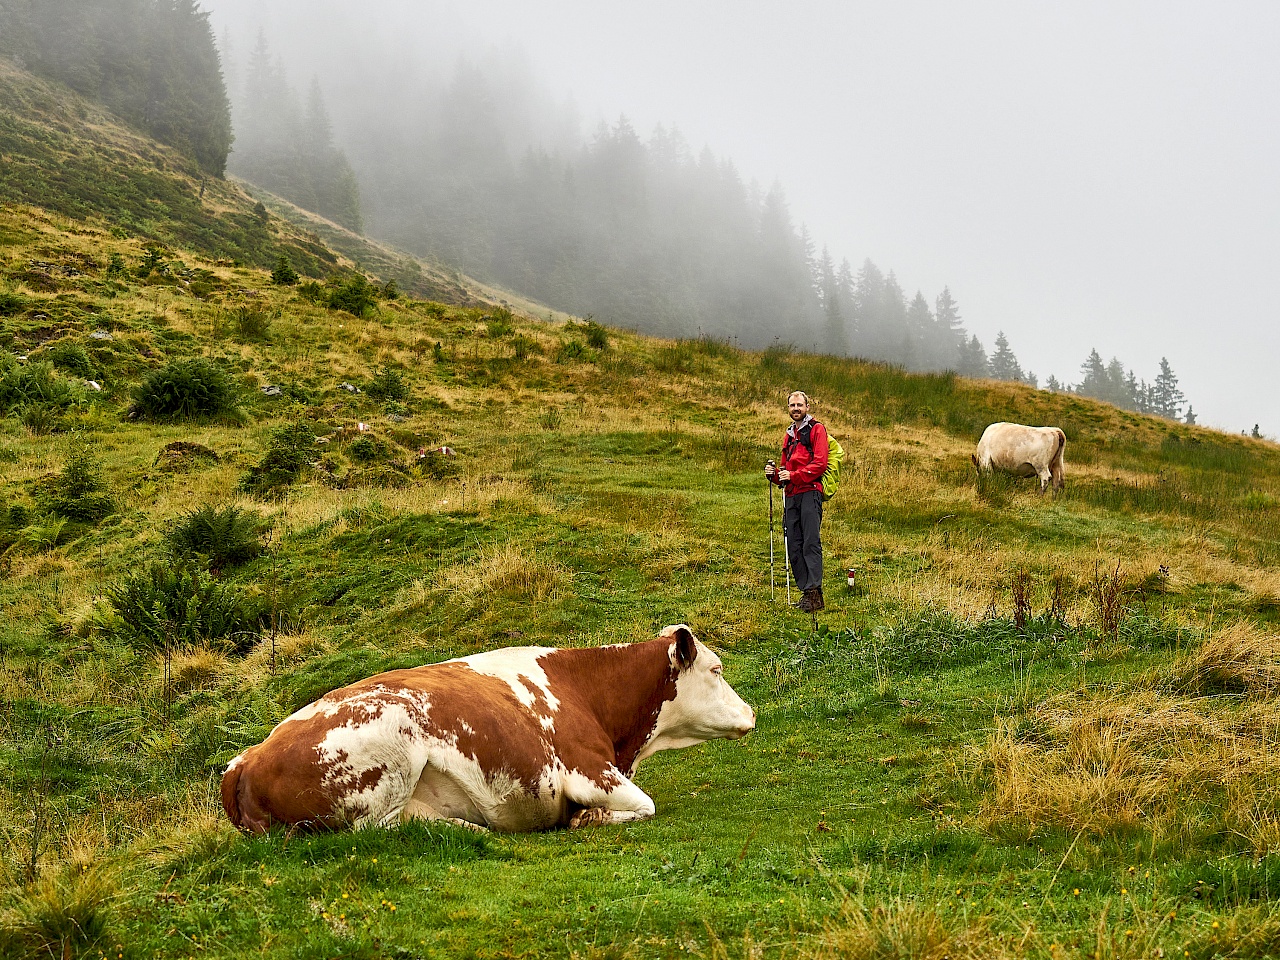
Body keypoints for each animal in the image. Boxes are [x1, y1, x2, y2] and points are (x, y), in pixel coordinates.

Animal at [218, 624, 747, 834]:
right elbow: (645, 805)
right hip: (392, 747)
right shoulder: (585, 769)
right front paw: (587, 818)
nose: (751, 713)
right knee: (377, 828)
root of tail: (244, 759)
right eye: (717, 669)